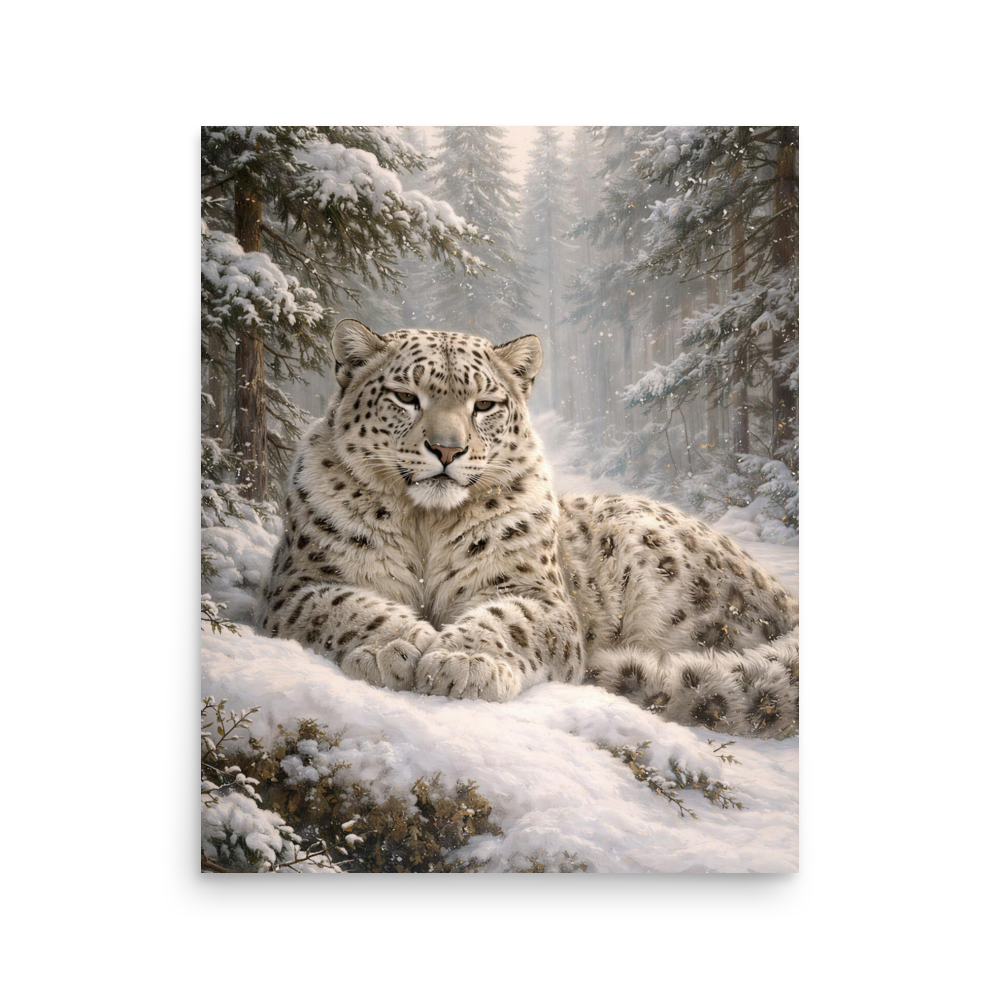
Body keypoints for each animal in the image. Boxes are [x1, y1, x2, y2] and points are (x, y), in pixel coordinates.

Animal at [258, 319, 799, 738]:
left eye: (484, 404)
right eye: (406, 396)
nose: (447, 449)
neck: (426, 523)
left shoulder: (537, 594)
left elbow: (509, 619)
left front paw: (464, 663)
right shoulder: (299, 583)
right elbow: (348, 606)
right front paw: (394, 648)